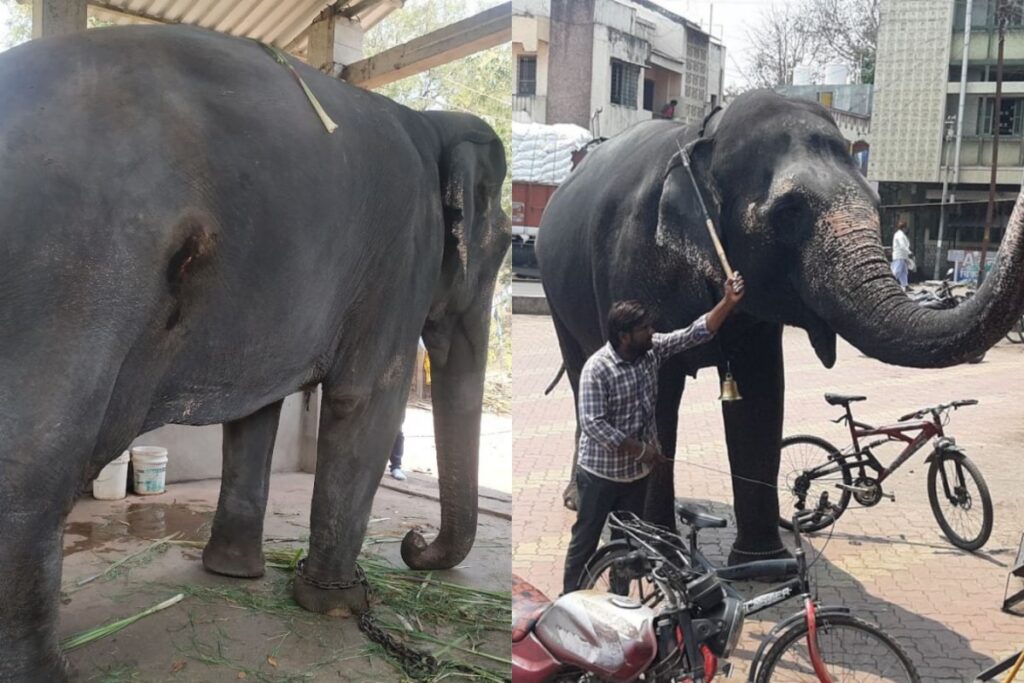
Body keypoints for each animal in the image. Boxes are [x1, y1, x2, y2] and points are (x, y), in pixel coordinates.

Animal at [0, 25, 509, 680]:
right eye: (504, 246)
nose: (414, 543)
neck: (431, 126)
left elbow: (256, 416)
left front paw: (233, 574)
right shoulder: (402, 260)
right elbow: (366, 399)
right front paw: (335, 605)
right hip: (69, 273)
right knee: (33, 462)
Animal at [536, 89, 1024, 565]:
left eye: (878, 205)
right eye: (789, 211)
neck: (705, 137)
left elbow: (762, 393)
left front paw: (760, 563)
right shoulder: (636, 265)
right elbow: (656, 399)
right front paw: (661, 548)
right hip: (556, 297)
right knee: (582, 377)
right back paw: (585, 503)